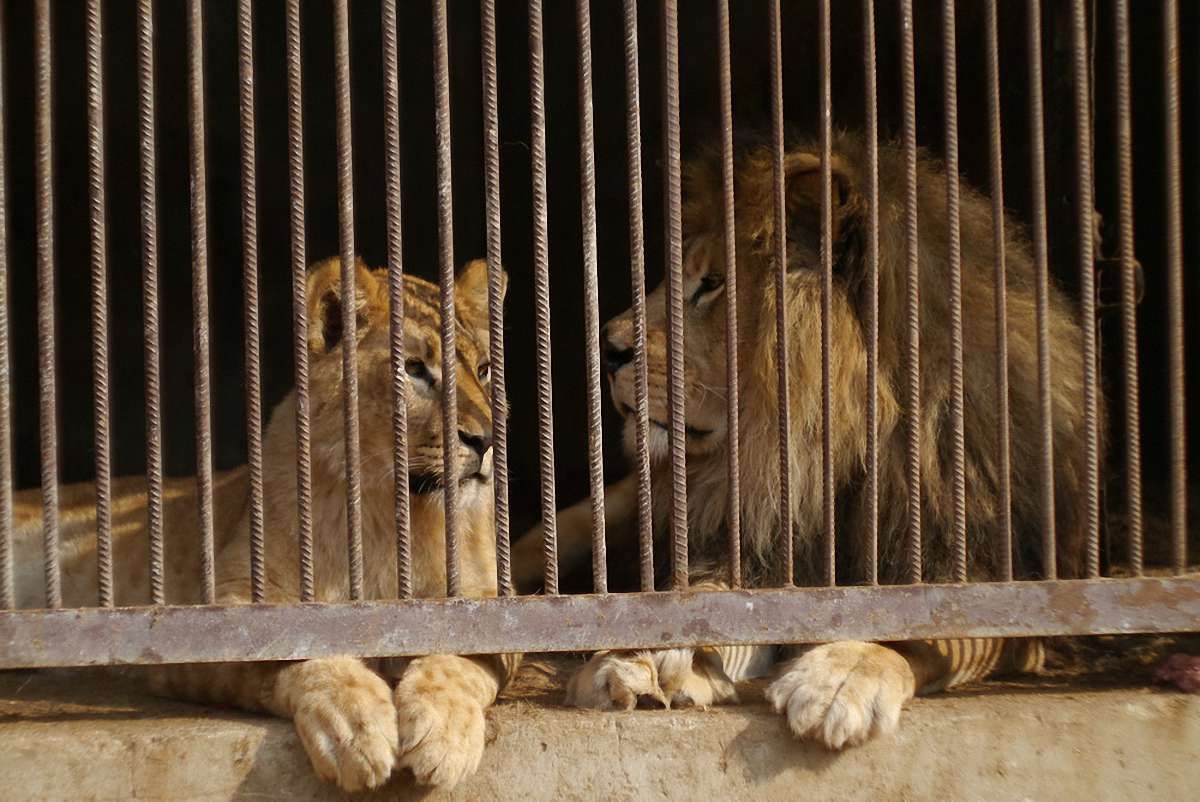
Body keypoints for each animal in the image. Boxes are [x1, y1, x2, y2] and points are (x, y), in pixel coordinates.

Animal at [13, 256, 515, 791]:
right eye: (414, 369)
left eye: (484, 370)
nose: (486, 439)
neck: (385, 513)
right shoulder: (214, 616)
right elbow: (288, 646)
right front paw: (353, 725)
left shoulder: (491, 600)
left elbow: (468, 658)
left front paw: (445, 731)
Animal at [514, 130, 1096, 748]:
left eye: (711, 284)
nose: (608, 348)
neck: (831, 455)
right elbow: (705, 599)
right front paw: (641, 654)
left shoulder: (1007, 584)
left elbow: (922, 626)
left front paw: (843, 677)